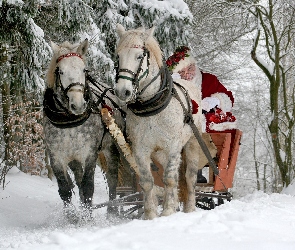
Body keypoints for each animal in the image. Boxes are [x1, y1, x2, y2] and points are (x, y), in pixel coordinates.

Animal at [115, 23, 206, 219]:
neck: (151, 107)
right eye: (118, 56)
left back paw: (189, 208)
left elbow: (170, 179)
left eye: (139, 56)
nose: (122, 91)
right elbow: (148, 181)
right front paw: (150, 214)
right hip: (159, 154)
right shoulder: (140, 149)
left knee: (189, 177)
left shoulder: (173, 146)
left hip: (192, 143)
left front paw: (168, 211)